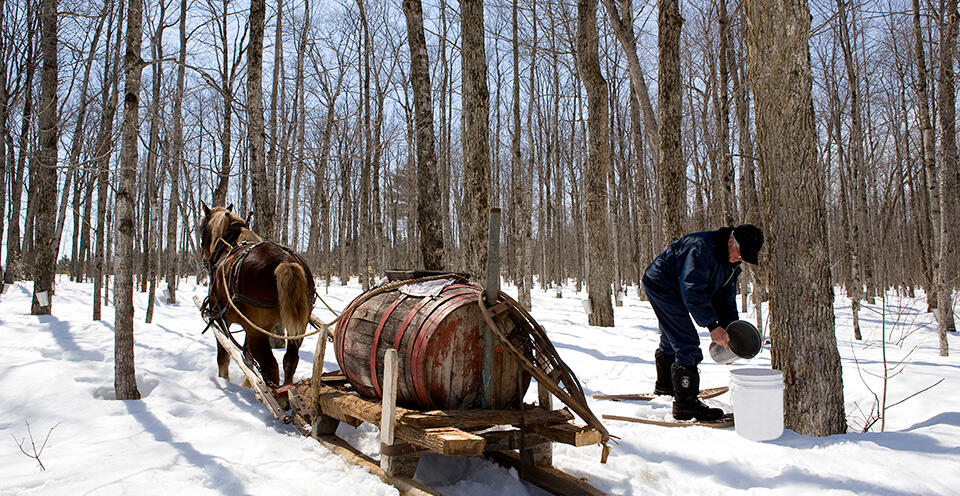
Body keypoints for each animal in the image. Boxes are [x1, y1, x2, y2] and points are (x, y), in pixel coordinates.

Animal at [199, 202, 316, 388]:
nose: (205, 258)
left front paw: (224, 380)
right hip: (298, 325)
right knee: (290, 360)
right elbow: (247, 356)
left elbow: (223, 354)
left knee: (270, 366)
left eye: (202, 227)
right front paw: (247, 383)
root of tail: (286, 262)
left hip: (258, 330)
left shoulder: (219, 317)